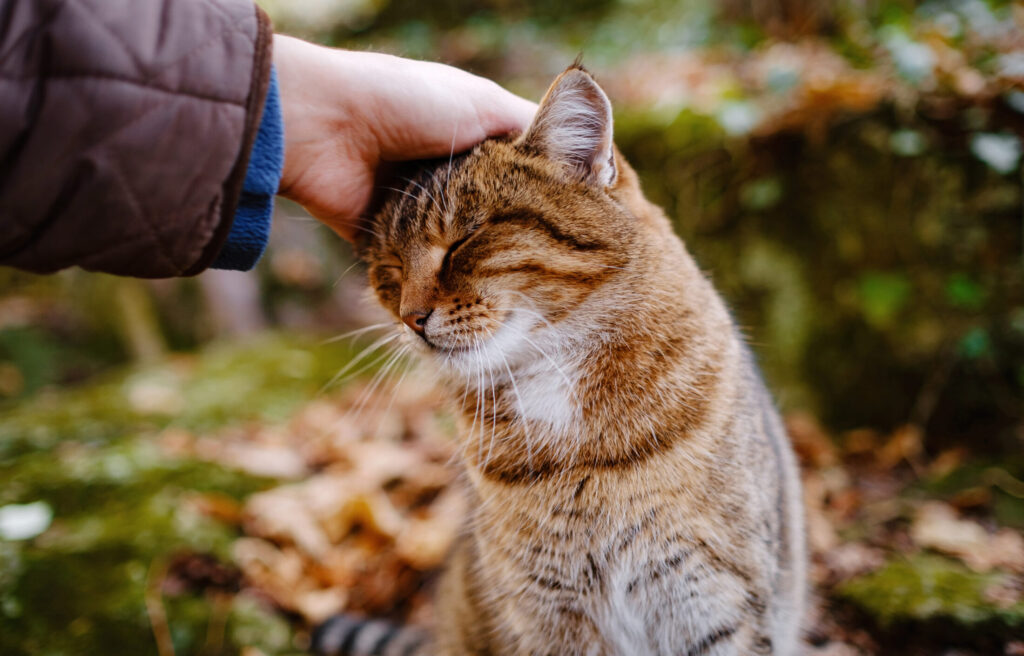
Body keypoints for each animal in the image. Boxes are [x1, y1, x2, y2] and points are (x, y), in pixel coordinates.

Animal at [313, 62, 806, 654]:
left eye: (463, 242)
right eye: (388, 270)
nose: (410, 317)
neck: (551, 373)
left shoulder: (712, 600)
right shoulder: (544, 615)